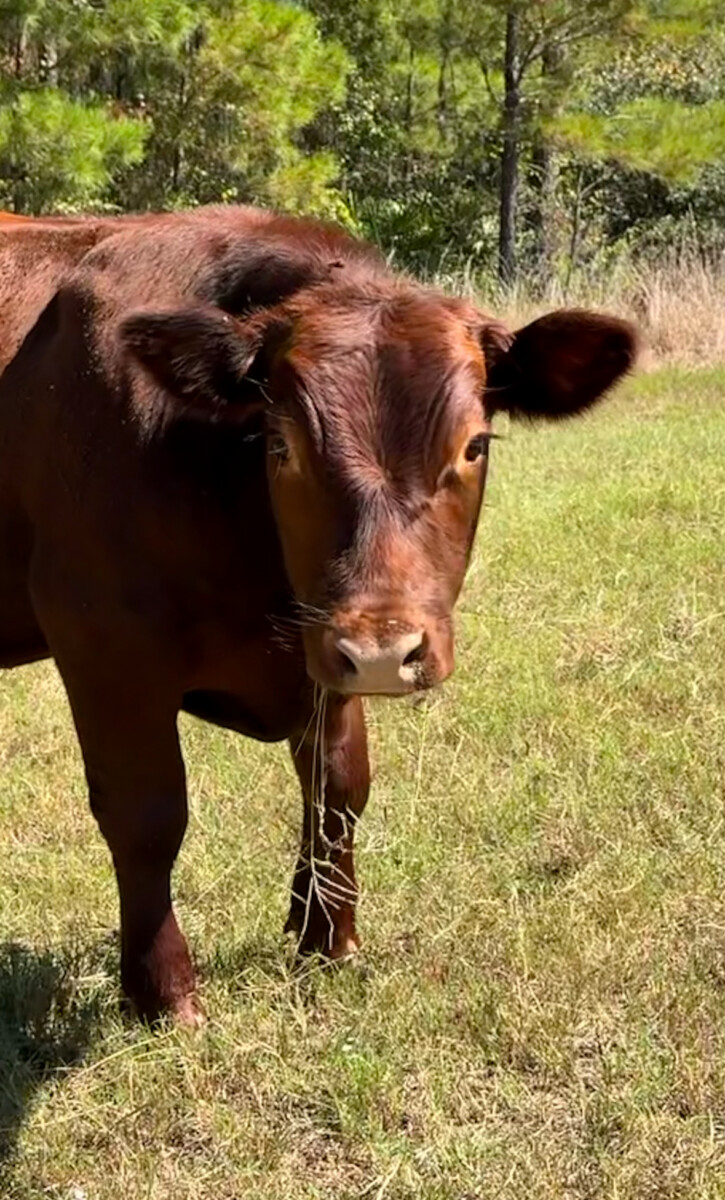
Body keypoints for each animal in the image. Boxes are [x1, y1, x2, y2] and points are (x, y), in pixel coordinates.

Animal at [0, 206, 637, 1025]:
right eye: (281, 444)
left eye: (474, 444)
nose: (383, 650)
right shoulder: (103, 641)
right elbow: (148, 815)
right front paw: (164, 993)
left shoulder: (321, 651)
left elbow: (338, 787)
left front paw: (328, 937)